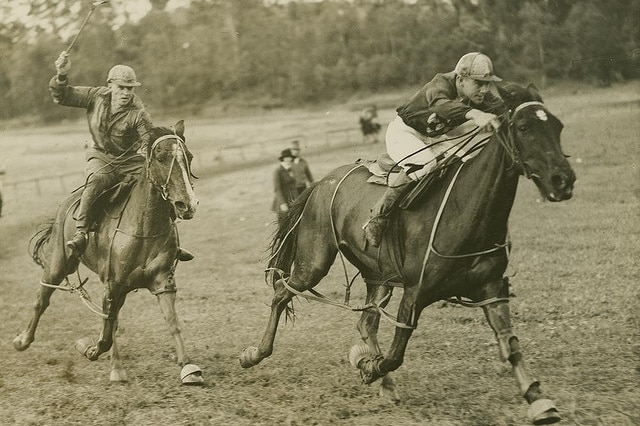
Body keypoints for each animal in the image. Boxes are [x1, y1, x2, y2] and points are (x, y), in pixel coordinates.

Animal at [14, 120, 202, 386]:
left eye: (189, 157)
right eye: (161, 157)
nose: (187, 204)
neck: (142, 228)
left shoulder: (162, 282)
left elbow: (172, 322)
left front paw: (188, 367)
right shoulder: (113, 285)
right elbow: (106, 333)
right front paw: (91, 351)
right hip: (58, 265)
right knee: (42, 299)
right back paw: (23, 340)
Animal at [239, 84, 576, 426]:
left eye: (558, 126)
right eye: (524, 128)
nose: (563, 180)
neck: (465, 210)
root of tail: (320, 182)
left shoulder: (492, 289)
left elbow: (510, 344)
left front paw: (539, 400)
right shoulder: (415, 292)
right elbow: (395, 354)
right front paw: (367, 365)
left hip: (378, 276)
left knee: (366, 322)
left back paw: (386, 386)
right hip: (314, 262)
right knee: (281, 292)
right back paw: (254, 354)